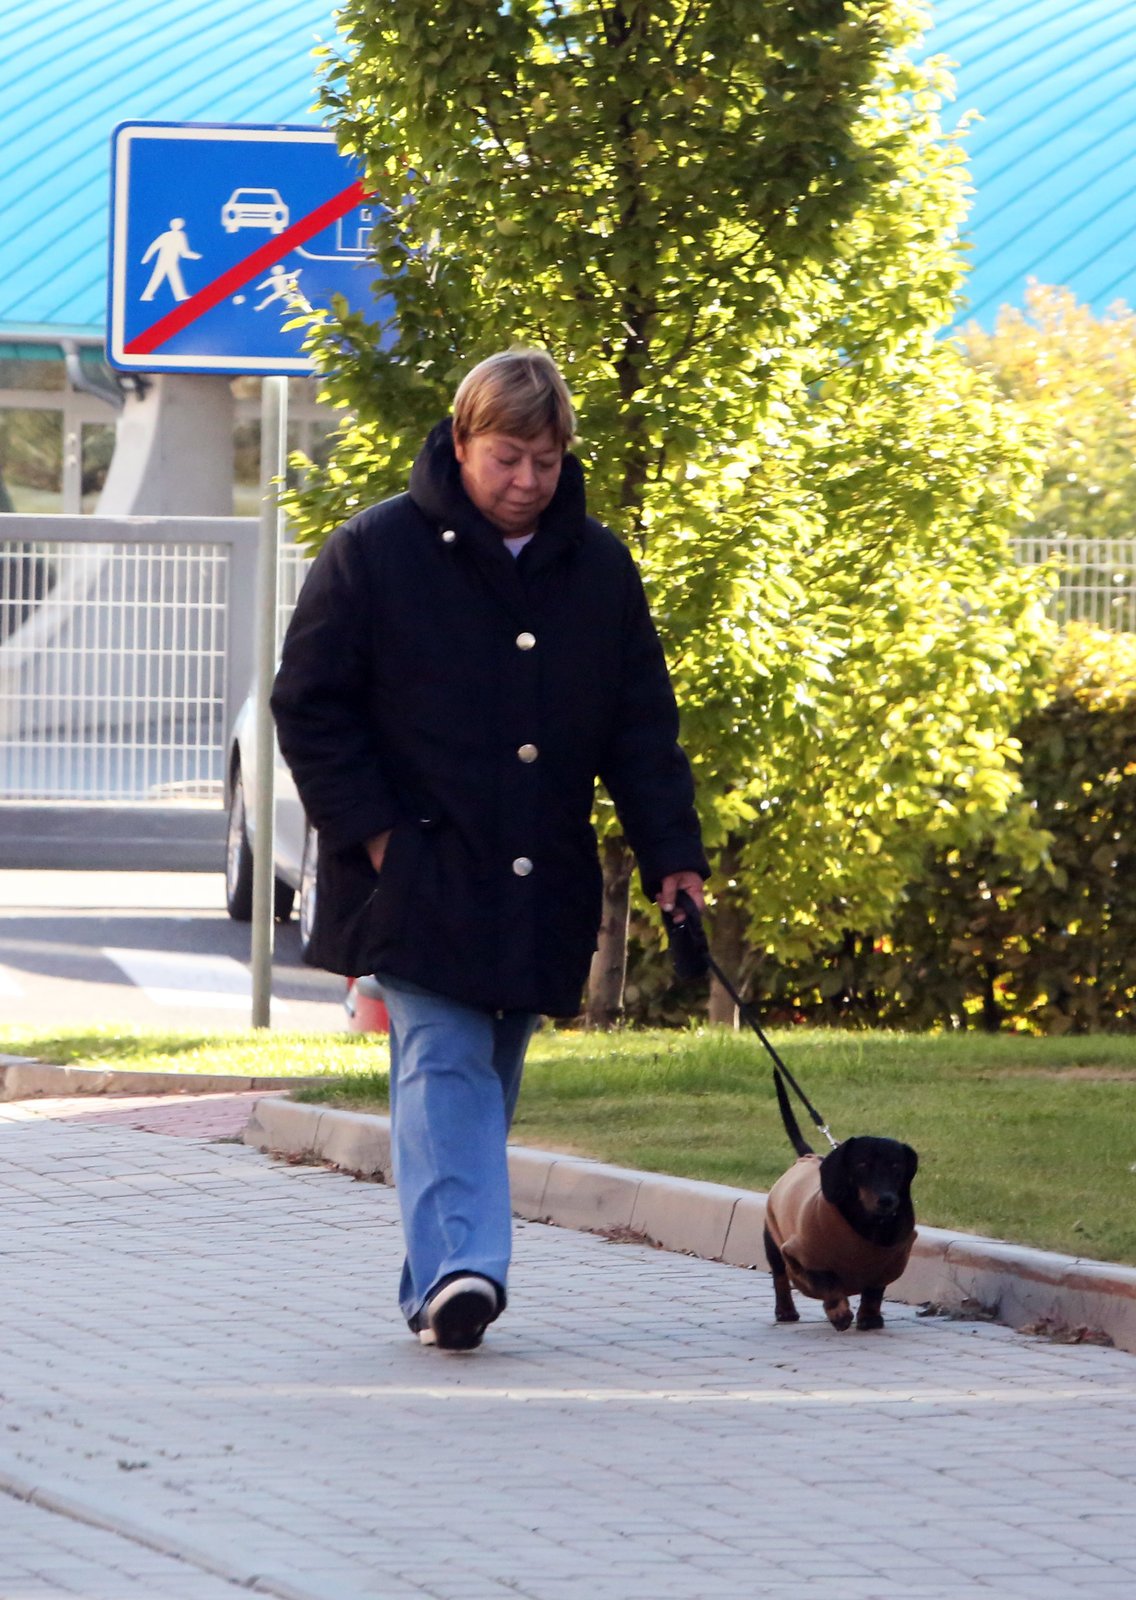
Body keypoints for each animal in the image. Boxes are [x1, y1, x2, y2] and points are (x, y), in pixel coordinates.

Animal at [764, 1081, 915, 1331]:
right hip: (772, 1241)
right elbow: (828, 1283)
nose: (887, 1200)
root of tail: (806, 1156)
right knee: (780, 1277)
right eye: (862, 1164)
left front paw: (870, 1317)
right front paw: (840, 1313)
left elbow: (874, 1291)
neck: (869, 1224)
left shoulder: (886, 1263)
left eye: (897, 1165)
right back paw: (785, 1311)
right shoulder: (805, 1256)